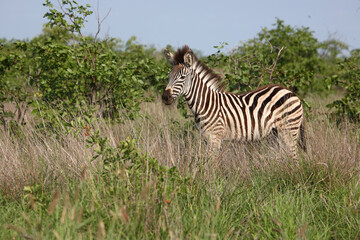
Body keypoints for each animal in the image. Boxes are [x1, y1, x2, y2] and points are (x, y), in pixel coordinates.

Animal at [162, 45, 306, 158]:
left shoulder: (215, 137)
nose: (165, 97)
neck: (205, 104)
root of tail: (291, 92)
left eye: (182, 77)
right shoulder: (205, 137)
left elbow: (210, 163)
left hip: (289, 129)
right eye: (168, 76)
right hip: (275, 133)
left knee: (294, 156)